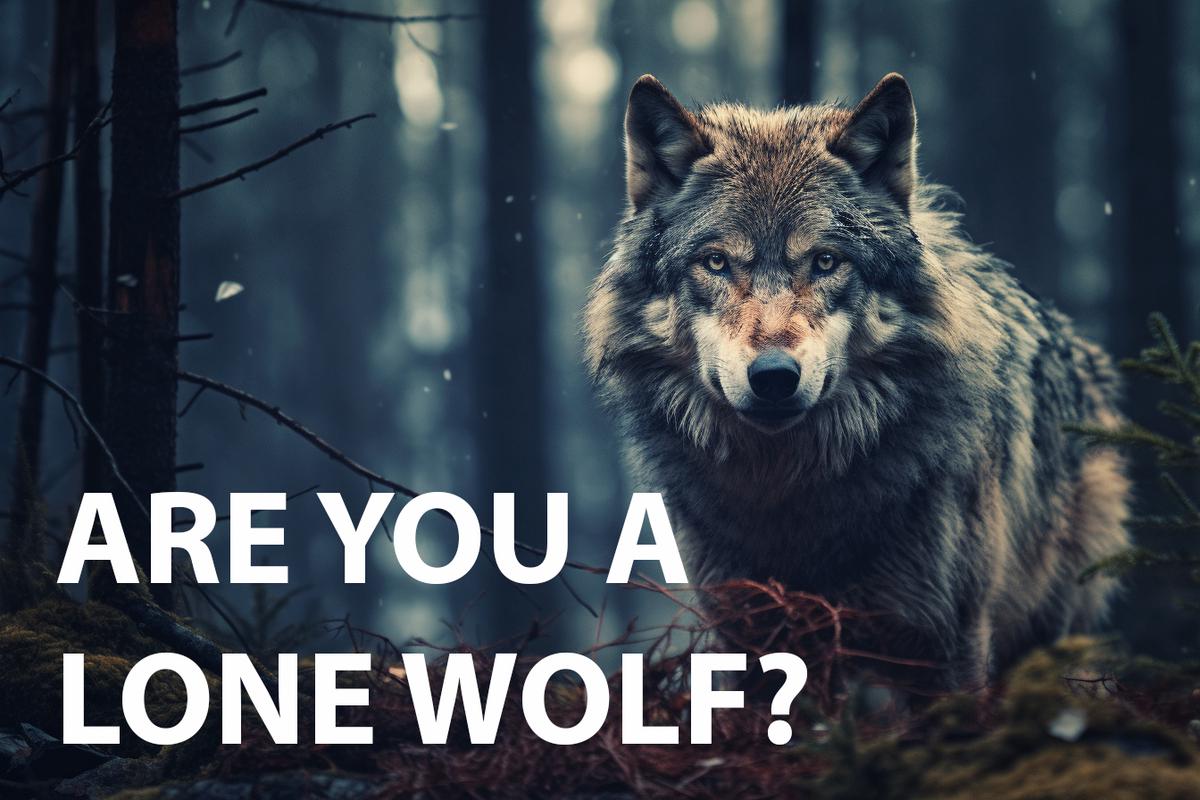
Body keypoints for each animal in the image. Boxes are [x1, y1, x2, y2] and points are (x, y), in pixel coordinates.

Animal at [583, 73, 1130, 689]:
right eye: (717, 263)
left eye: (825, 261)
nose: (774, 377)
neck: (787, 490)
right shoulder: (740, 638)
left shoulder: (948, 640)